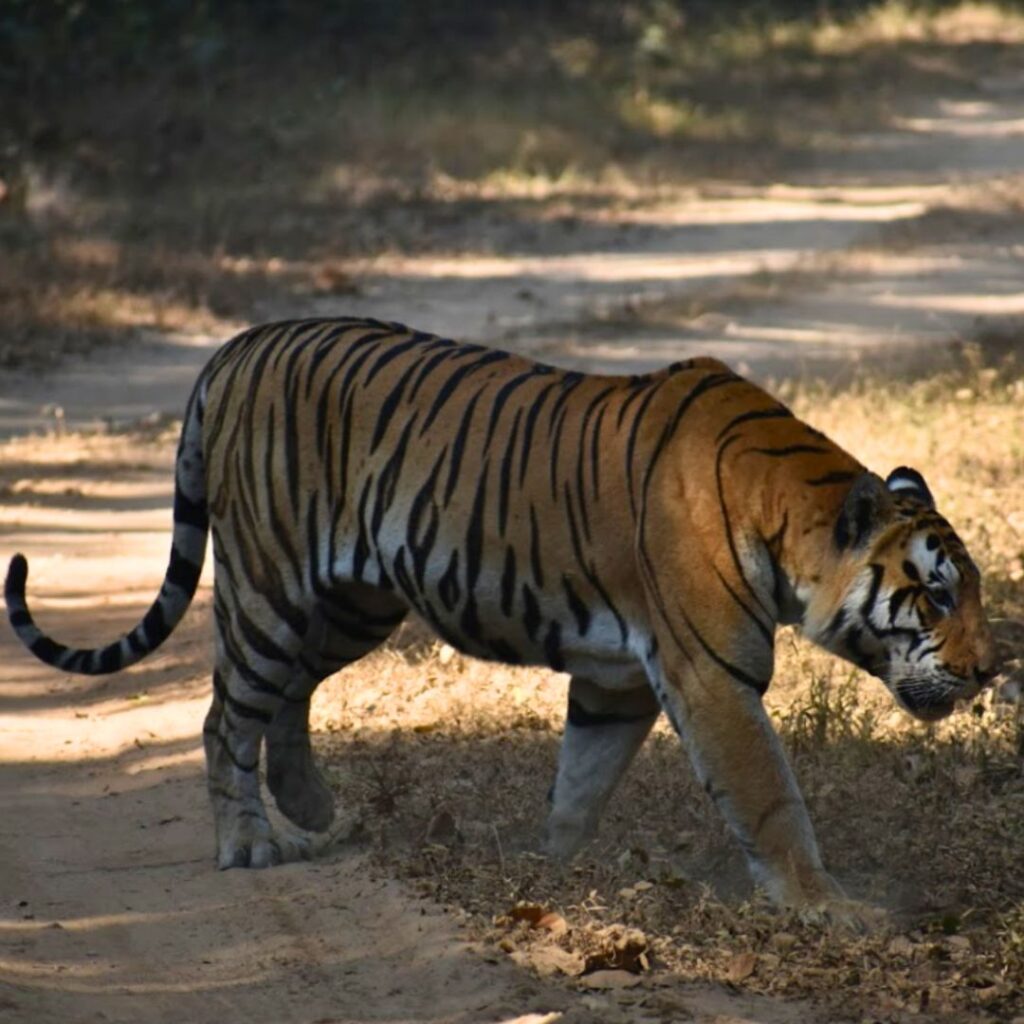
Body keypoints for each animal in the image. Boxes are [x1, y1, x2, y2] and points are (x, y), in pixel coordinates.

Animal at [6, 315, 999, 925]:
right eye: (937, 595)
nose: (991, 671)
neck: (791, 513)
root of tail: (236, 344)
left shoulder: (614, 679)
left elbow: (581, 783)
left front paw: (550, 871)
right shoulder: (712, 676)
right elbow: (769, 797)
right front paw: (828, 907)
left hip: (351, 603)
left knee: (285, 699)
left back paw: (314, 809)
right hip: (268, 584)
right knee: (225, 715)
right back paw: (250, 844)